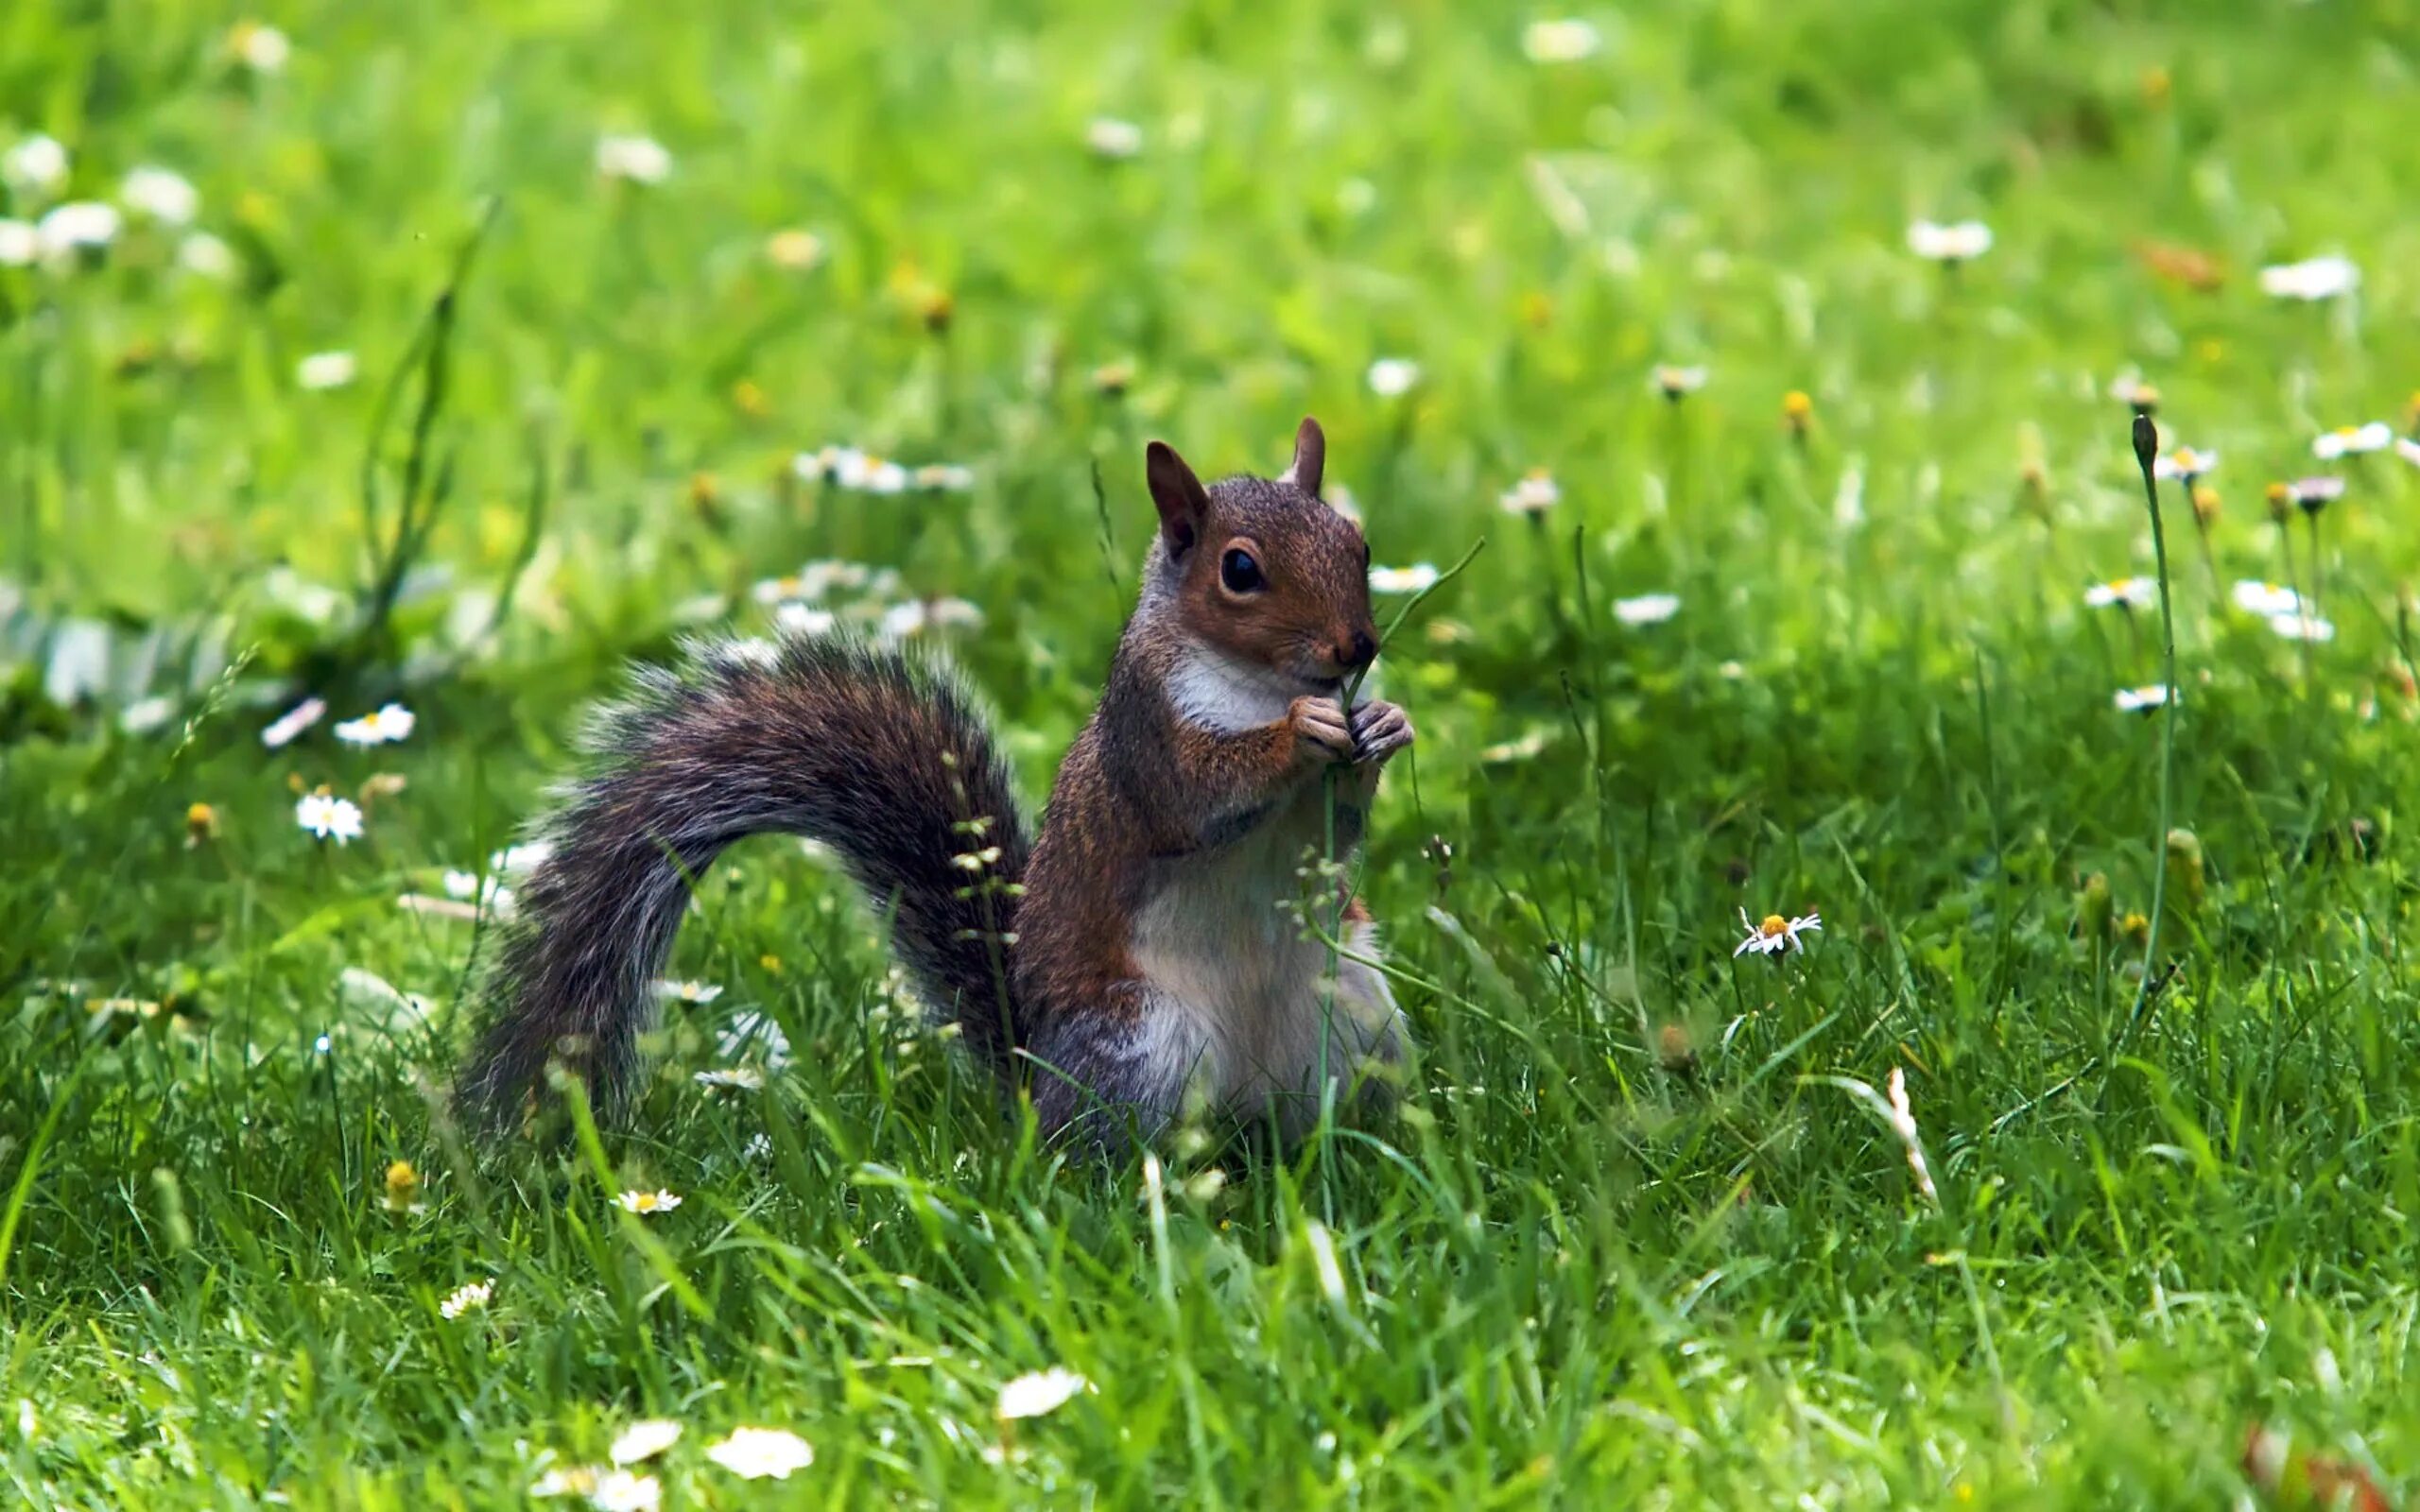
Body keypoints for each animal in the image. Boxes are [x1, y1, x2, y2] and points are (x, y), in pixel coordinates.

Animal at [457, 416, 1413, 1142]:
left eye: (1360, 543)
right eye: (1239, 570)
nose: (1358, 648)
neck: (1260, 683)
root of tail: (1034, 1075)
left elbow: (1338, 830)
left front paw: (1384, 726)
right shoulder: (1146, 735)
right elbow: (1198, 793)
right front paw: (1301, 734)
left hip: (1357, 1014)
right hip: (1140, 1045)